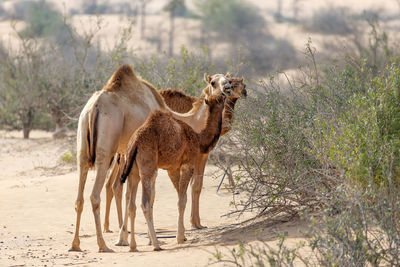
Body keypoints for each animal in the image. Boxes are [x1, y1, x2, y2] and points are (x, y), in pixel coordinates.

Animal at [120, 93, 227, 251]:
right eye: (220, 98)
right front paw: (180, 237)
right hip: (147, 165)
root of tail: (134, 143)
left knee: (131, 205)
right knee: (144, 203)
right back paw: (156, 244)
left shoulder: (173, 168)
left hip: (133, 170)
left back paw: (133, 246)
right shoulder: (188, 164)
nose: (224, 94)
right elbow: (182, 200)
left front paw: (182, 235)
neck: (198, 138)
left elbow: (180, 196)